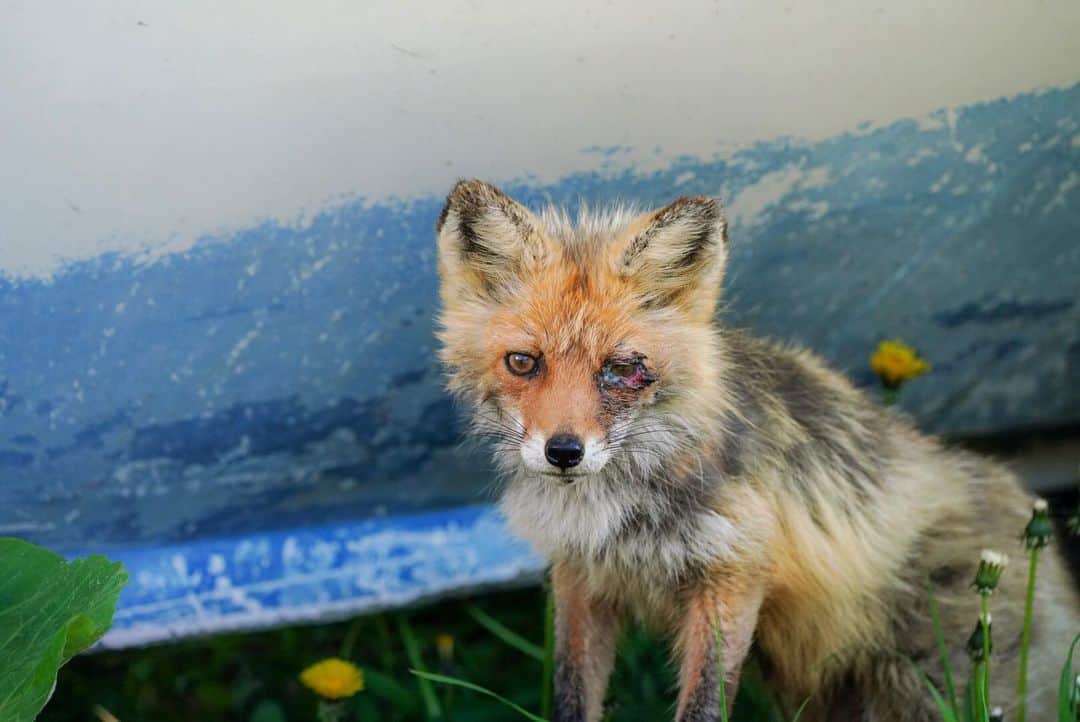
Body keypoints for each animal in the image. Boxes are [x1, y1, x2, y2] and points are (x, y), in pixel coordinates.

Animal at [434, 179, 1079, 721]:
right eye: (524, 362)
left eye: (621, 369)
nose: (564, 452)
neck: (613, 516)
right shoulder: (581, 580)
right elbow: (571, 698)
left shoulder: (734, 576)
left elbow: (703, 704)